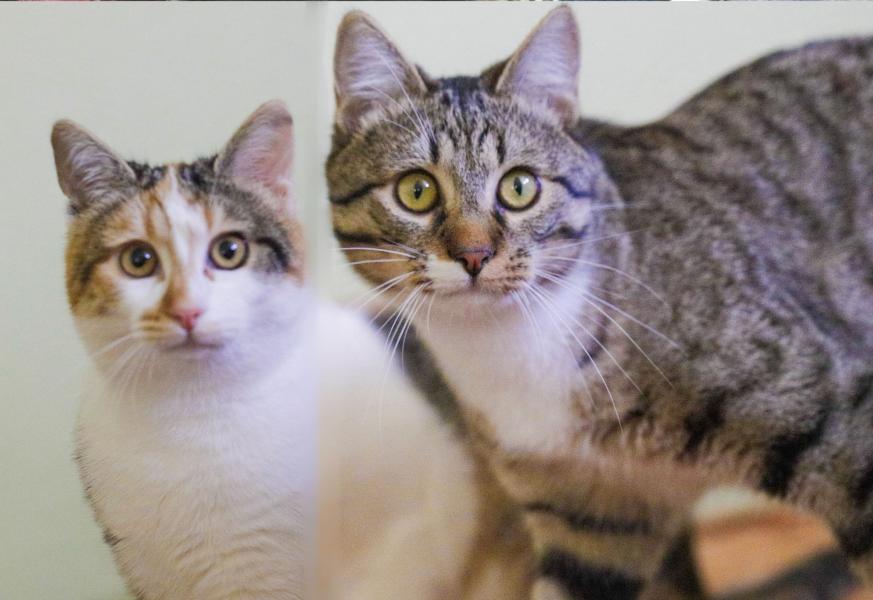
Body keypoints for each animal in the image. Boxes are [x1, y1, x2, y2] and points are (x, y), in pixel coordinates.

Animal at [327, 7, 873, 600]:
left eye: (519, 187)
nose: (474, 254)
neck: (510, 352)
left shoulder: (840, 420)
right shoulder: (592, 520)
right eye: (417, 191)